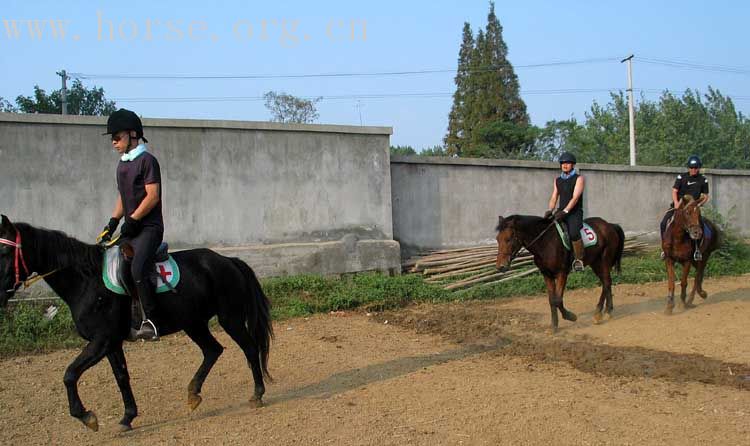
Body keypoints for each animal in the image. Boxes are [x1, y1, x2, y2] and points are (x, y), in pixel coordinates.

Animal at [0, 216, 274, 432]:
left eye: (4, 253)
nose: (1, 294)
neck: (87, 281)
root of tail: (227, 260)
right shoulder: (111, 343)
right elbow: (121, 377)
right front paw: (127, 418)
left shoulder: (102, 340)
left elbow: (70, 374)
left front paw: (87, 417)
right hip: (193, 323)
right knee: (212, 350)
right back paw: (193, 393)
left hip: (230, 318)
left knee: (249, 349)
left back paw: (257, 394)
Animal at [496, 214, 624, 332]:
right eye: (497, 239)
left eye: (508, 239)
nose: (501, 266)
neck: (546, 242)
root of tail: (609, 225)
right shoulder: (547, 275)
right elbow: (551, 300)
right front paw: (554, 326)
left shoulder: (561, 273)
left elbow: (557, 300)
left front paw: (571, 316)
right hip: (595, 263)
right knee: (606, 282)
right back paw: (606, 311)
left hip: (604, 261)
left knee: (606, 282)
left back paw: (599, 314)